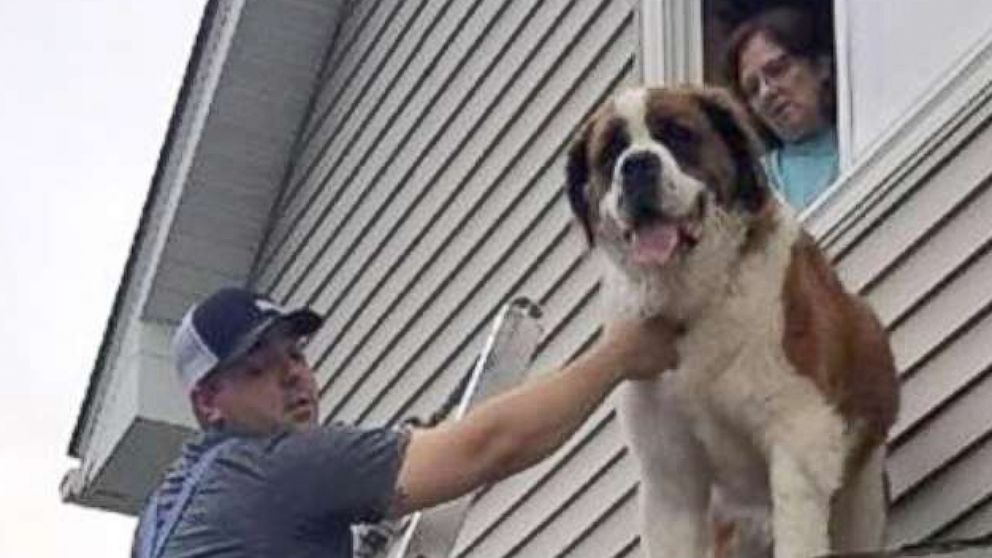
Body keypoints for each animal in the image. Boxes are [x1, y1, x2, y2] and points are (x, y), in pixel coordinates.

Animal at [564, 85, 900, 556]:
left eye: (678, 134)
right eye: (611, 152)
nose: (636, 165)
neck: (694, 298)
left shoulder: (800, 437)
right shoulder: (669, 476)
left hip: (860, 494)